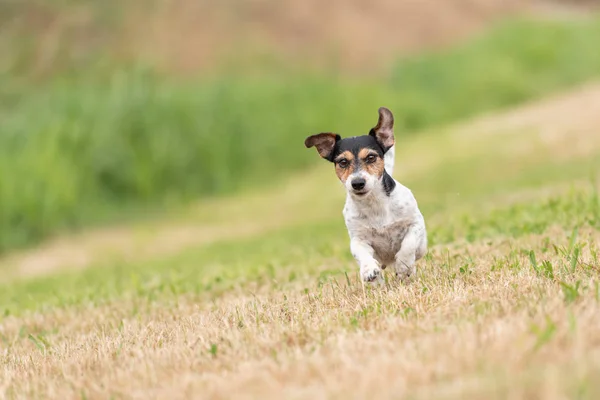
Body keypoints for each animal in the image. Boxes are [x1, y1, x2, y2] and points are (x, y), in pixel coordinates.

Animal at [304, 106, 426, 284]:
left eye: (371, 157)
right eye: (342, 162)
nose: (357, 183)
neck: (374, 204)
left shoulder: (415, 224)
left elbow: (408, 245)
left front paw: (403, 266)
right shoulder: (358, 239)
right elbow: (362, 254)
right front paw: (369, 270)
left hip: (422, 247)